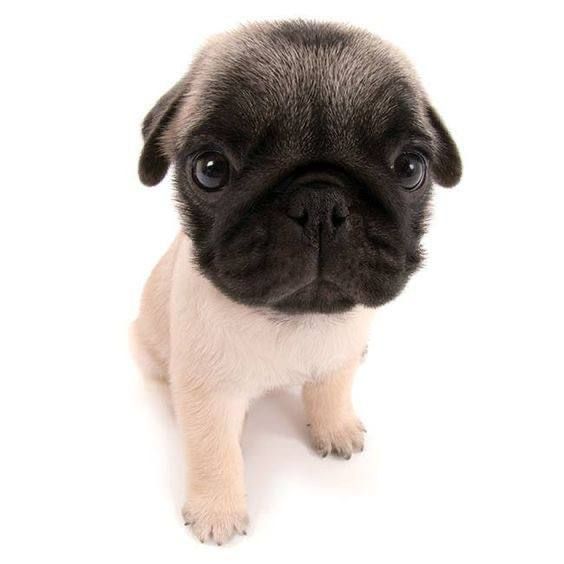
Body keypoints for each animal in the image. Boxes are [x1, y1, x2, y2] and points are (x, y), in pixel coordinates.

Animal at [133, 19, 462, 544]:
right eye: (210, 170)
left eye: (411, 168)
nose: (320, 203)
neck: (295, 320)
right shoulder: (207, 394)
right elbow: (214, 453)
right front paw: (217, 511)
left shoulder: (340, 354)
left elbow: (332, 392)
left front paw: (335, 427)